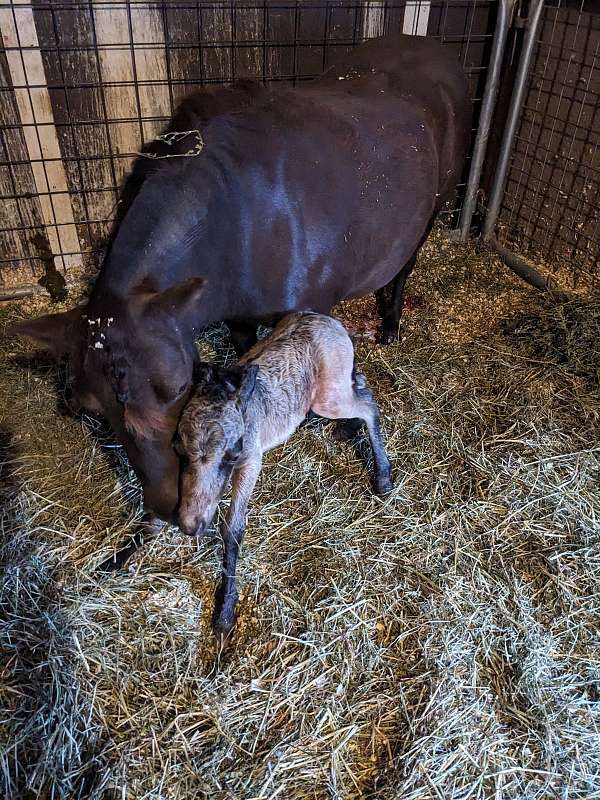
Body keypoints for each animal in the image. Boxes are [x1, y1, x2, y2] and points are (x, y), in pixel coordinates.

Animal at [7, 34, 472, 520]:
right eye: (91, 408)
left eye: (180, 386)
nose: (164, 504)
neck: (240, 219)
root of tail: (434, 47)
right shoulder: (239, 317)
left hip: (431, 212)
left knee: (404, 268)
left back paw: (390, 326)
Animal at [177, 310, 394, 632]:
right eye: (179, 449)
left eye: (232, 455)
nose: (191, 525)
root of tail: (331, 322)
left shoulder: (251, 460)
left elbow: (233, 528)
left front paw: (225, 611)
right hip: (335, 386)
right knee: (362, 384)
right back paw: (349, 429)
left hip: (327, 398)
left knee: (368, 405)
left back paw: (382, 475)